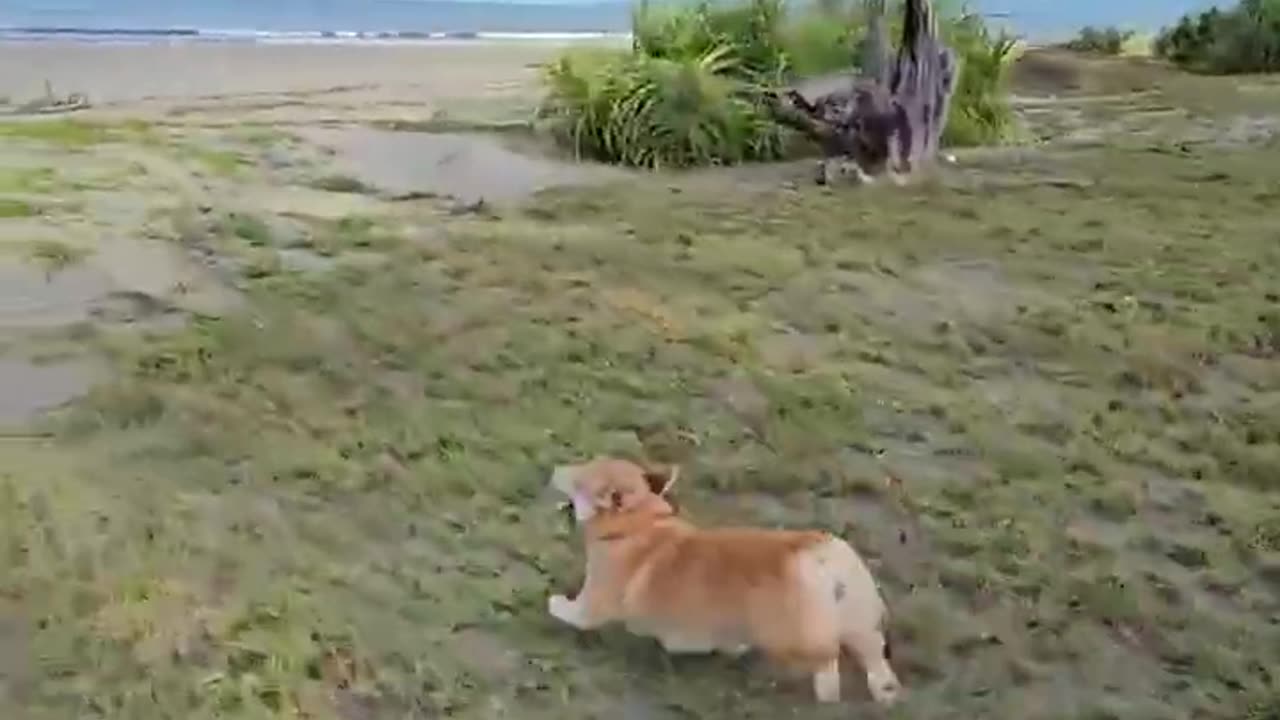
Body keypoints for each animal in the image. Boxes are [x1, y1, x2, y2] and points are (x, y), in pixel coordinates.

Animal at [547, 456, 901, 702]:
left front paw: (554, 603)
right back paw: (885, 694)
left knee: (828, 667)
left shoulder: (595, 602)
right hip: (859, 619)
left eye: (578, 478)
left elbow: (571, 611)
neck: (640, 523)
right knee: (874, 660)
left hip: (791, 638)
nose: (555, 469)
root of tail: (820, 554)